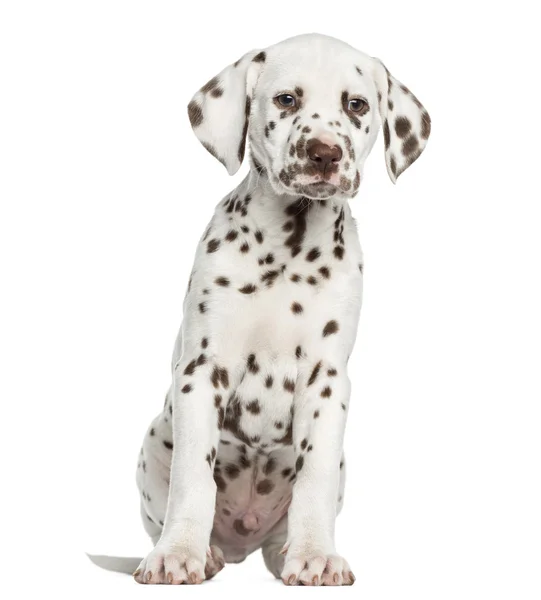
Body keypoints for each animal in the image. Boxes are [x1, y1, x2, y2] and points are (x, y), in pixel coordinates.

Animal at [131, 32, 426, 584]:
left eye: (356, 105)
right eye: (287, 99)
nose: (324, 153)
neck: (289, 246)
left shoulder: (327, 381)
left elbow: (314, 481)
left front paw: (315, 556)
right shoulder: (201, 370)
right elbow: (193, 477)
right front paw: (177, 553)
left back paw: (285, 550)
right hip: (154, 441)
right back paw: (204, 551)